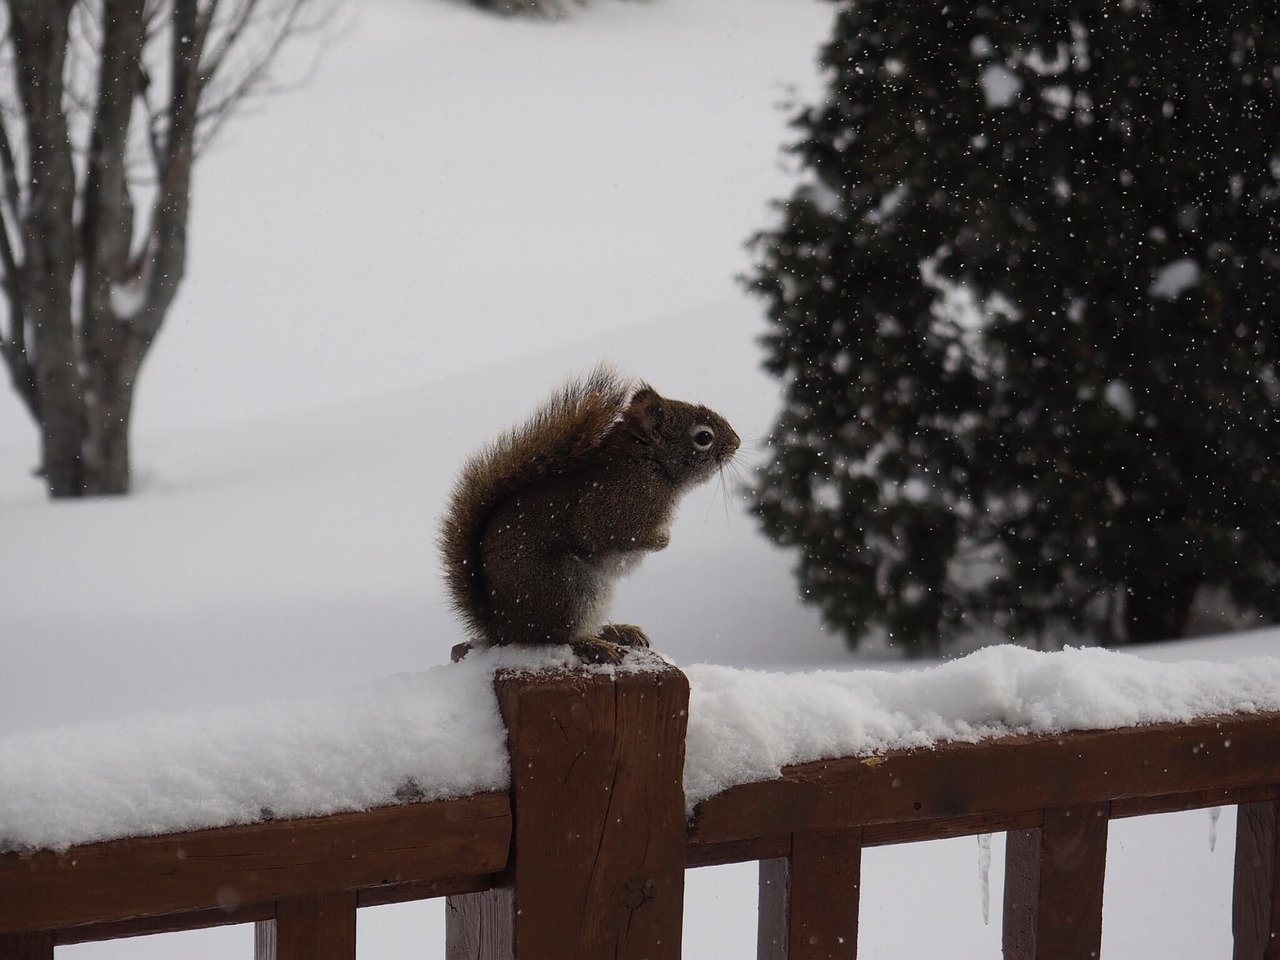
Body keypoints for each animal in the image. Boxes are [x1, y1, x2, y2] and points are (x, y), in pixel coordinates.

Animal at [440, 363, 742, 665]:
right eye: (703, 437)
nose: (737, 443)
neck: (651, 465)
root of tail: (502, 626)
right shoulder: (615, 505)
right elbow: (606, 534)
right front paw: (662, 540)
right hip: (566, 587)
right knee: (558, 637)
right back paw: (594, 645)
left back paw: (617, 631)